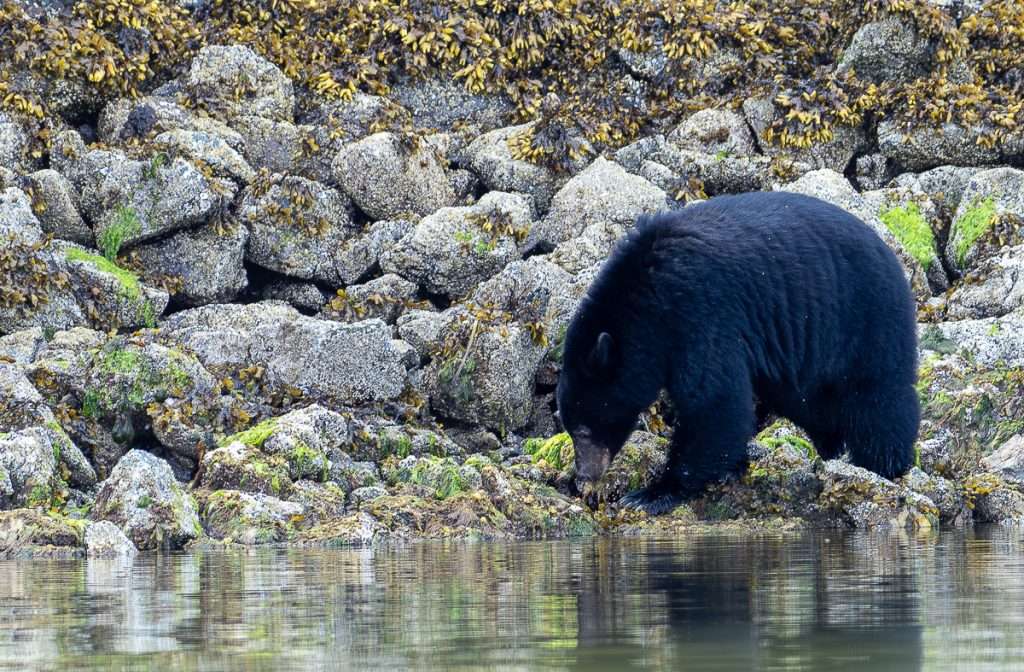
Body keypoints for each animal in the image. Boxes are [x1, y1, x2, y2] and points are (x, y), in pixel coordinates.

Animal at [556, 191, 920, 515]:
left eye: (584, 428)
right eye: (569, 427)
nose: (584, 475)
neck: (646, 302)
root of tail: (891, 253)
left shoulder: (698, 313)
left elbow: (714, 402)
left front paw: (652, 493)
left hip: (864, 318)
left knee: (877, 400)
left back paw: (882, 465)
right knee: (811, 403)